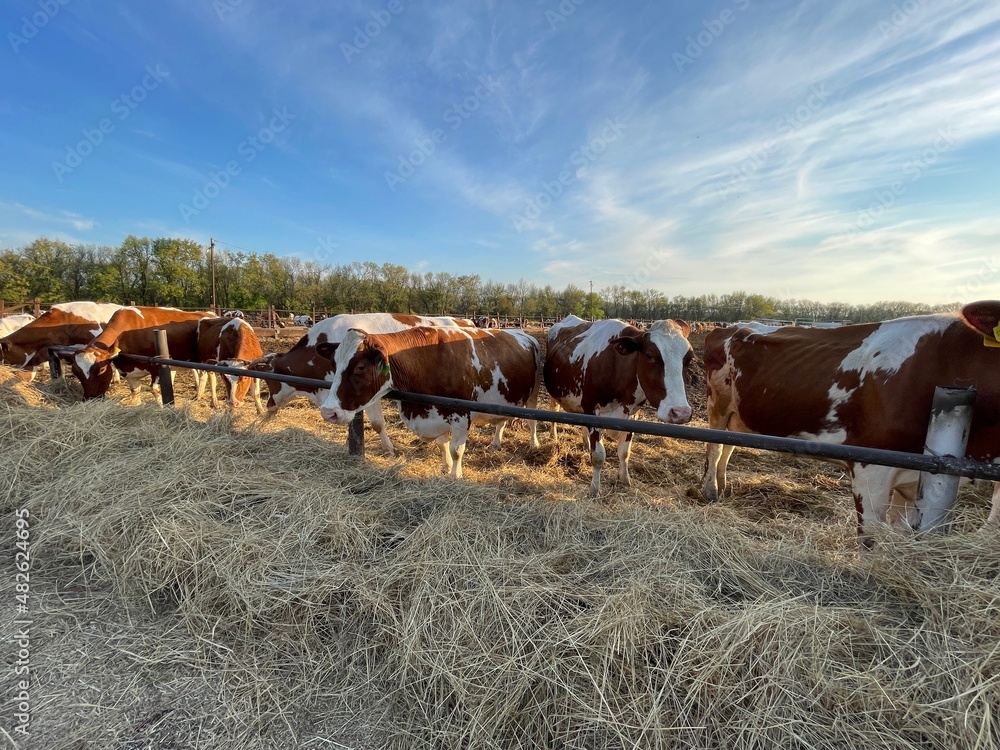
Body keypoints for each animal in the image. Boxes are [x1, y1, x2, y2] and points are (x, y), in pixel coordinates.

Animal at [61, 307, 211, 399]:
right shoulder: (128, 370)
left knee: (204, 375)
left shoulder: (157, 366)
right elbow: (135, 392)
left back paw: (199, 395)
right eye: (75, 372)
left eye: (102, 369)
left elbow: (156, 391)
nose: (89, 398)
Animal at [318, 326, 541, 478]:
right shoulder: (434, 413)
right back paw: (495, 443)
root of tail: (526, 335)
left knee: (532, 420)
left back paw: (534, 444)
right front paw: (445, 466)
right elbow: (443, 445)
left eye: (361, 367)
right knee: (501, 420)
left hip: (534, 393)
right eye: (334, 363)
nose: (328, 412)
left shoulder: (461, 415)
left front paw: (456, 475)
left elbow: (457, 450)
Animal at [543, 315, 694, 496]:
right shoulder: (592, 410)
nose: (681, 412)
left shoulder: (633, 414)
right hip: (554, 393)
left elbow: (624, 452)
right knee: (554, 410)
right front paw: (594, 489)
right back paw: (554, 435)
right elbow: (598, 456)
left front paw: (625, 480)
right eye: (649, 355)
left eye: (689, 358)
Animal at [702, 301, 1000, 540]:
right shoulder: (872, 466)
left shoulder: (915, 477)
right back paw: (711, 491)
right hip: (718, 403)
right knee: (715, 446)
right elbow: (871, 539)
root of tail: (733, 327)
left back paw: (723, 484)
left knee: (728, 444)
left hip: (738, 414)